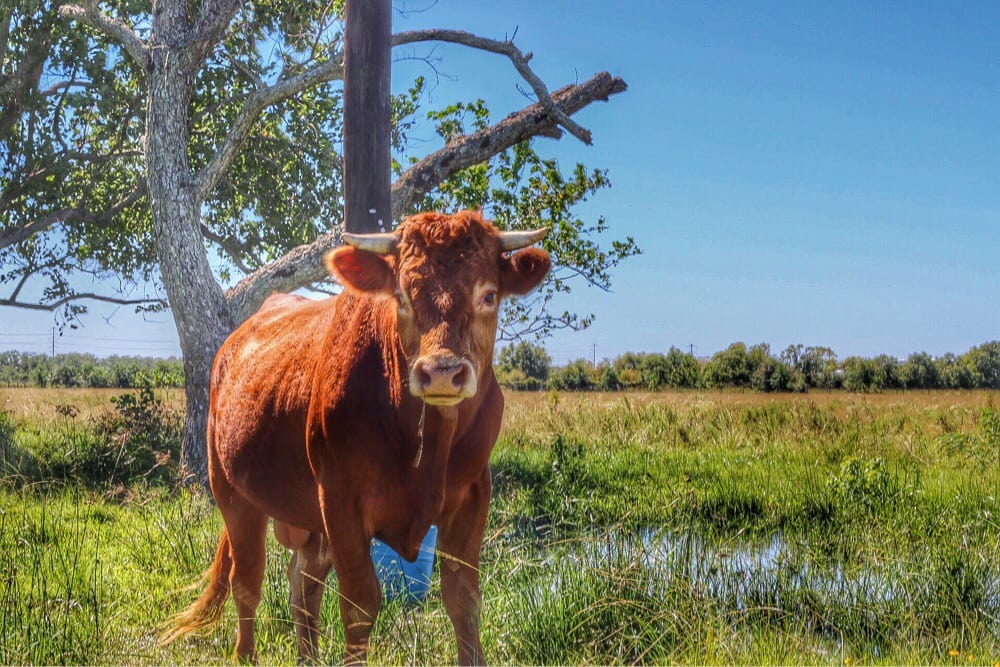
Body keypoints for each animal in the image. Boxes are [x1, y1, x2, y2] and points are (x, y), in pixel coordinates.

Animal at [161, 210, 550, 665]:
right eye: (401, 295)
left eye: (488, 295)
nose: (441, 371)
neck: (424, 446)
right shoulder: (340, 499)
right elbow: (360, 604)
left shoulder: (473, 493)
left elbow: (463, 599)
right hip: (232, 492)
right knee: (248, 581)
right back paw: (245, 655)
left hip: (305, 518)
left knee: (302, 586)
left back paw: (307, 658)